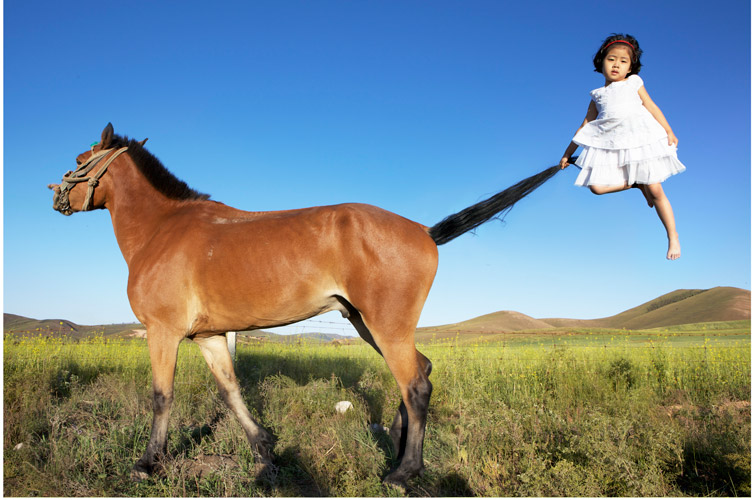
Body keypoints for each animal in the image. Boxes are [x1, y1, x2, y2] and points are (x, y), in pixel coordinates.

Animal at [48, 123, 560, 486]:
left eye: (78, 160)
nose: (55, 197)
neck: (162, 229)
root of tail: (424, 231)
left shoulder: (163, 331)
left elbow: (161, 396)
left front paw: (148, 462)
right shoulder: (209, 336)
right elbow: (231, 392)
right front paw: (264, 453)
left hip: (385, 325)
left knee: (416, 384)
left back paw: (403, 472)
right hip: (366, 324)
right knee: (423, 370)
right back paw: (397, 446)